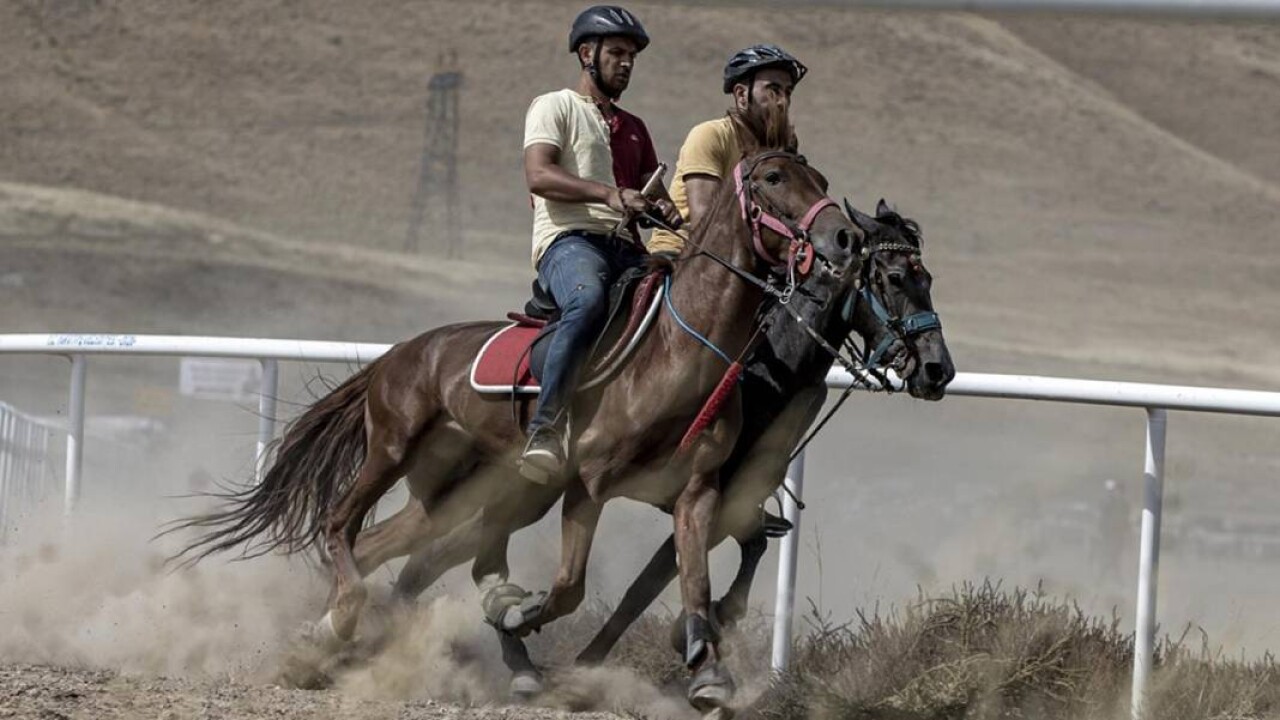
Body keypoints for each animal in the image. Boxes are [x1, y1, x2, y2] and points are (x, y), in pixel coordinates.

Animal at [172, 109, 860, 707]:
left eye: (823, 182)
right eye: (775, 179)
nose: (844, 237)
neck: (681, 351)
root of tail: (400, 352)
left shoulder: (697, 493)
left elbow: (693, 584)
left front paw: (708, 674)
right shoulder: (587, 486)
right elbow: (568, 589)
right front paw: (518, 613)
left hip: (461, 490)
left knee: (384, 544)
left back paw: (321, 642)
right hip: (394, 450)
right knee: (341, 525)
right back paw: (340, 622)